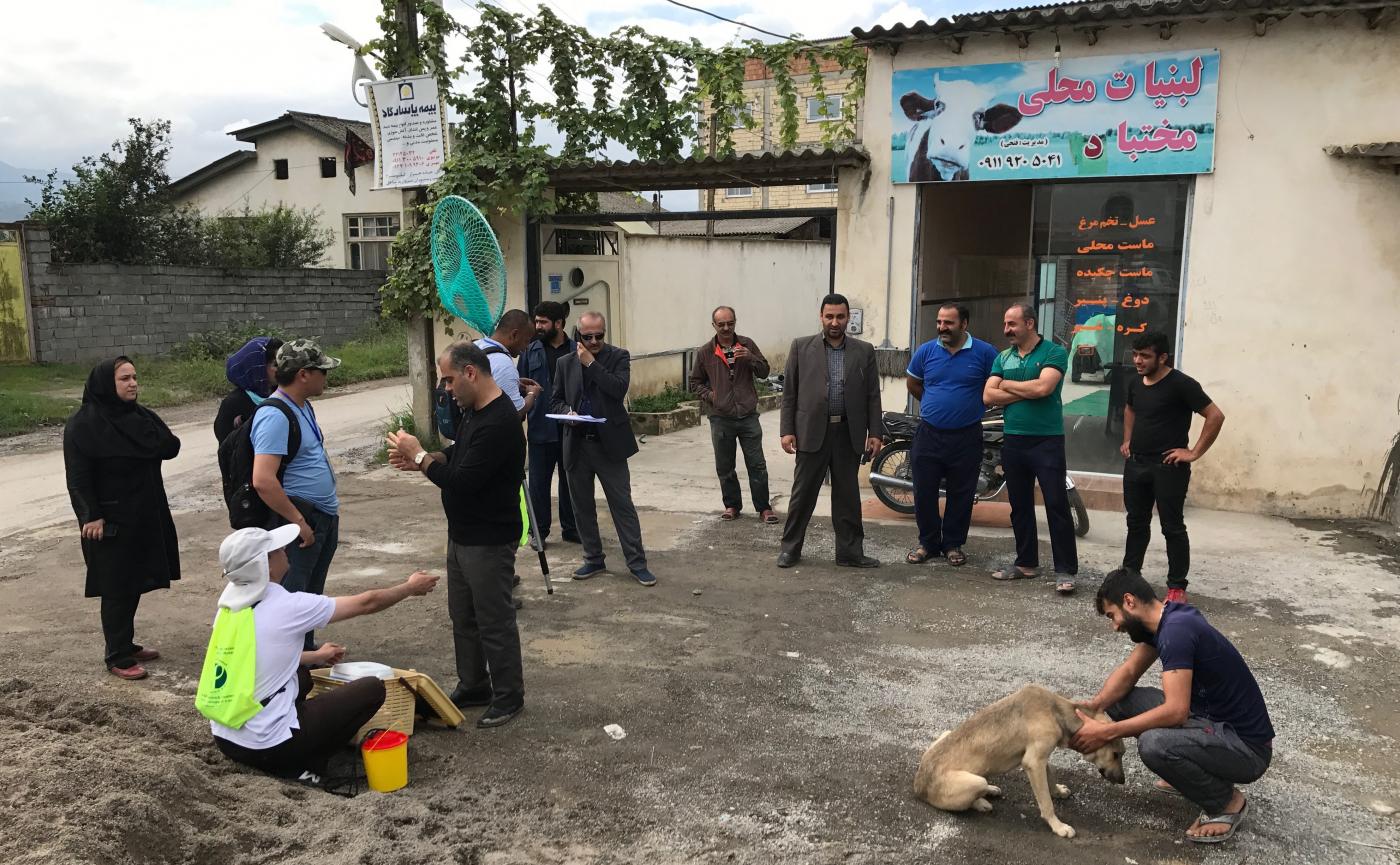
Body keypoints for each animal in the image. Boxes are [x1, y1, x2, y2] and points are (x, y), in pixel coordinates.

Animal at [918, 680, 1125, 834]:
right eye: (1116, 754)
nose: (1123, 780)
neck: (1056, 711)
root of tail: (918, 785)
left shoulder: (1041, 760)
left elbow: (1051, 779)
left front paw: (1058, 791)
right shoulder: (1033, 762)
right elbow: (1046, 803)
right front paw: (1058, 826)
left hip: (946, 734)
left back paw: (990, 789)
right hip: (974, 781)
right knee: (967, 800)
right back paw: (982, 801)